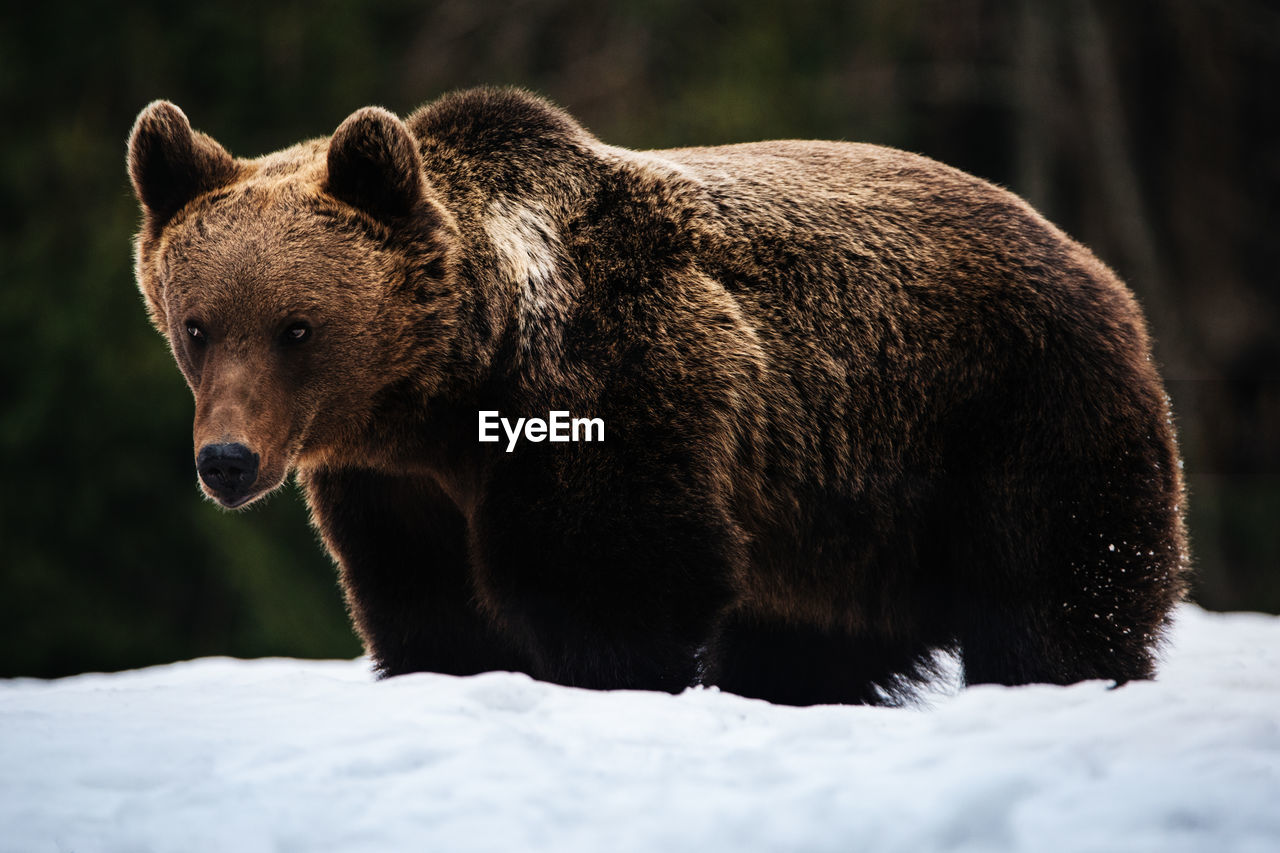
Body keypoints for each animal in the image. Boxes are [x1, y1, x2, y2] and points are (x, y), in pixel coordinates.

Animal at [127, 87, 1187, 701]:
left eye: (296, 326)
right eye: (198, 325)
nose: (227, 461)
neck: (449, 394)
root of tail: (1096, 267)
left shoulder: (613, 400)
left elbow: (614, 587)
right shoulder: (393, 491)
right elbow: (430, 612)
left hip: (1012, 416)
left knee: (1056, 597)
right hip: (837, 523)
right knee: (811, 642)